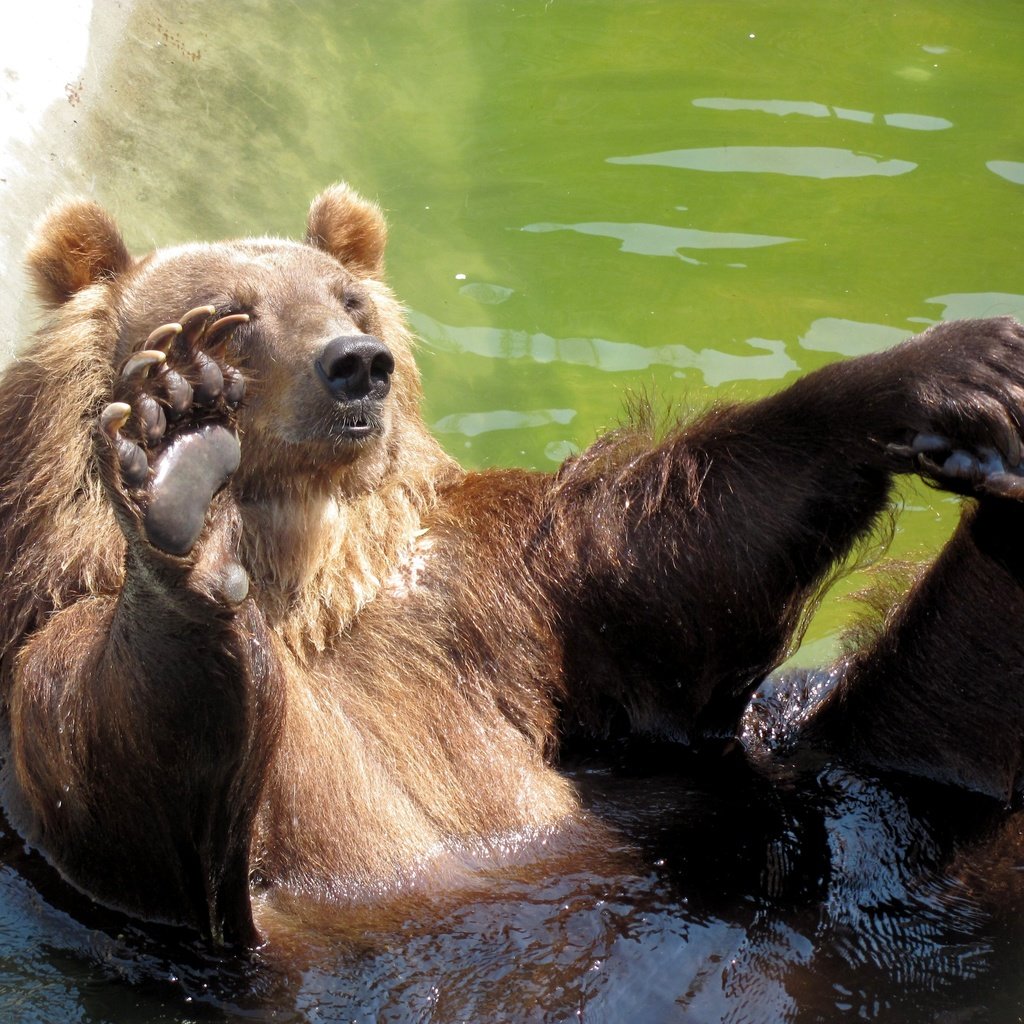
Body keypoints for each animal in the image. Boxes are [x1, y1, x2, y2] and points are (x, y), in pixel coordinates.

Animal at [2, 182, 1024, 942]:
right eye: (233, 315)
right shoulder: (64, 666)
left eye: (347, 297)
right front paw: (178, 463)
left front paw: (950, 367)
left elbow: (663, 570)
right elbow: (129, 772)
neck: (310, 580)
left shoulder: (489, 588)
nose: (356, 363)